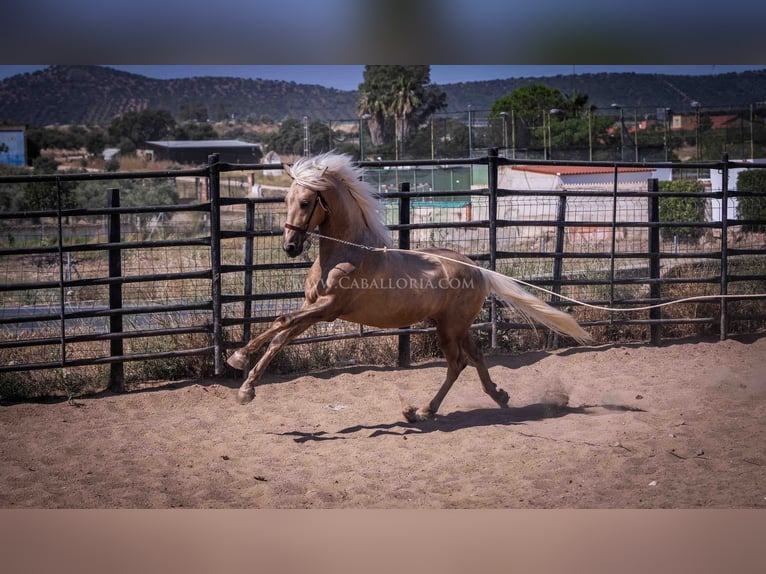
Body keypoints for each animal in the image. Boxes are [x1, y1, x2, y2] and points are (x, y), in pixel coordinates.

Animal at [228, 153, 592, 424]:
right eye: (286, 199)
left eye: (305, 203)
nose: (289, 247)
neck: (346, 254)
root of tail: (478, 269)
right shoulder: (313, 309)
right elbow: (280, 336)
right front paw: (246, 387)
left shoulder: (329, 308)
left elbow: (281, 321)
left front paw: (238, 358)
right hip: (455, 325)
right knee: (475, 356)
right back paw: (496, 396)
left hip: (449, 328)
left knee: (457, 364)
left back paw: (423, 411)